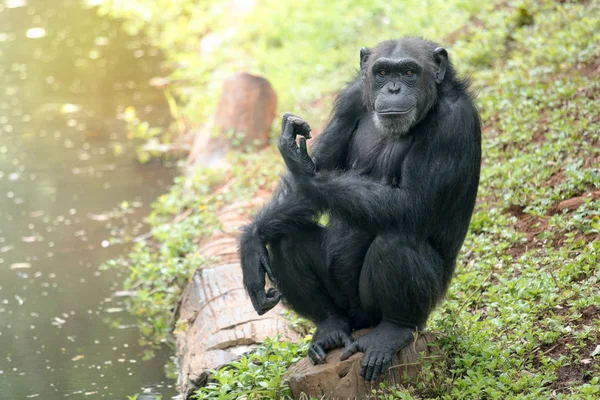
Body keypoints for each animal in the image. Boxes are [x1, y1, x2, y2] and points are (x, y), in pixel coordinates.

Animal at [239, 37, 482, 382]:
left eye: (409, 72)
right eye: (381, 72)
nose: (393, 88)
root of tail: (360, 324)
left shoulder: (452, 122)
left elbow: (413, 203)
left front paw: (302, 166)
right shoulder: (350, 99)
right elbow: (305, 194)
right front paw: (251, 242)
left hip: (388, 310)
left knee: (398, 240)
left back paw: (392, 330)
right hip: (347, 312)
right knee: (287, 239)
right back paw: (328, 325)